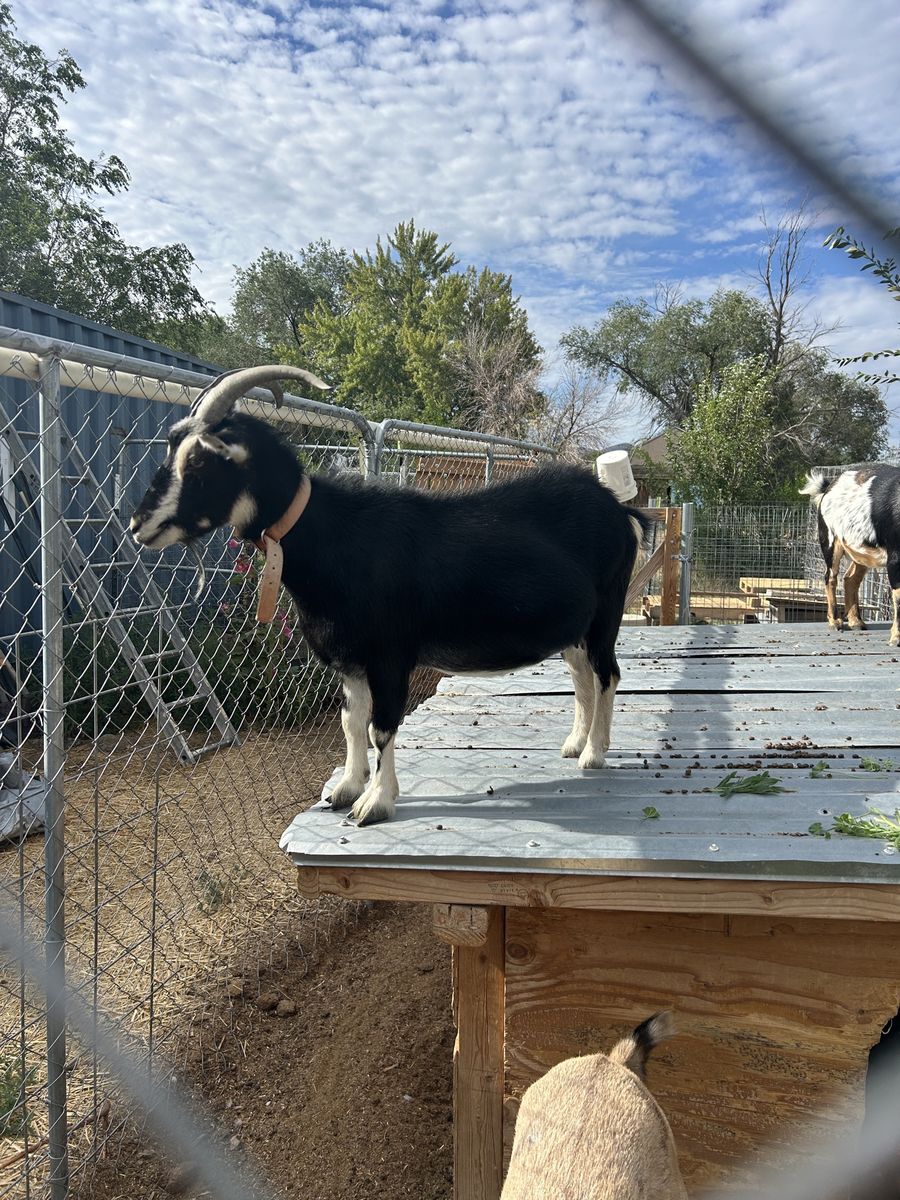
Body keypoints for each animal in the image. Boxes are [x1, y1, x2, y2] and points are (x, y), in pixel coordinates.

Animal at [131, 366, 650, 825]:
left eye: (200, 460)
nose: (139, 525)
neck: (336, 540)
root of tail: (621, 511)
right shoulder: (351, 660)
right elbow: (351, 720)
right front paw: (346, 788)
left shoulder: (390, 655)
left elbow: (381, 726)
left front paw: (374, 804)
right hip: (573, 629)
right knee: (582, 677)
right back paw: (574, 743)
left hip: (607, 611)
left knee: (607, 674)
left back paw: (594, 755)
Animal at [801, 468, 900, 645]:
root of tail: (829, 487)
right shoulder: (895, 557)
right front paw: (896, 639)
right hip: (830, 540)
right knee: (830, 577)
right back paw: (835, 622)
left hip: (860, 551)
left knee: (850, 579)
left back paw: (857, 622)